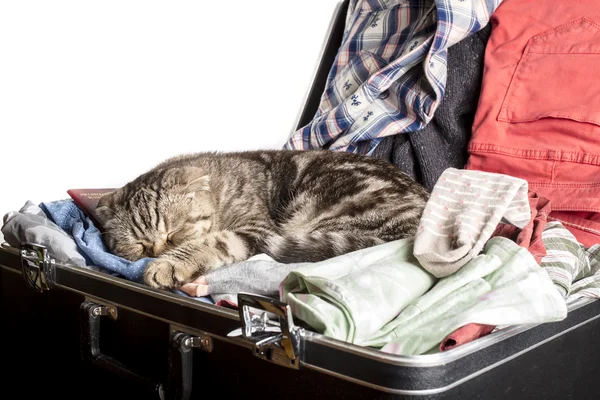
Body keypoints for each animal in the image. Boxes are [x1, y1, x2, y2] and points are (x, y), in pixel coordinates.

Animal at [96, 150, 428, 290]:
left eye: (175, 233)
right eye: (138, 246)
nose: (157, 252)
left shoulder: (255, 229)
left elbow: (214, 242)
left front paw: (168, 264)